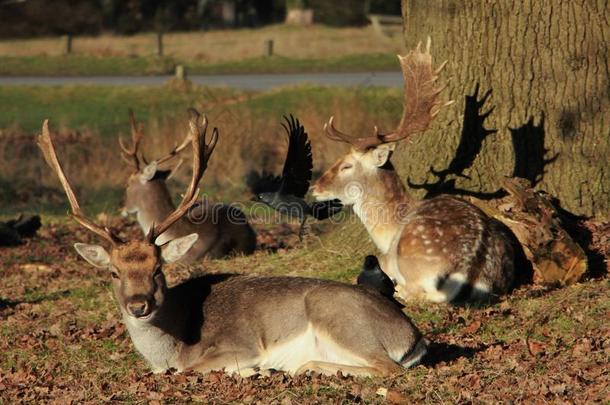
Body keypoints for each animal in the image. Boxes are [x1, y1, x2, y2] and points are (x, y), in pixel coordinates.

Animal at [308, 39, 512, 302]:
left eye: (346, 165)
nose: (316, 187)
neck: (389, 229)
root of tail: (471, 268)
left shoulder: (387, 258)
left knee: (415, 292)